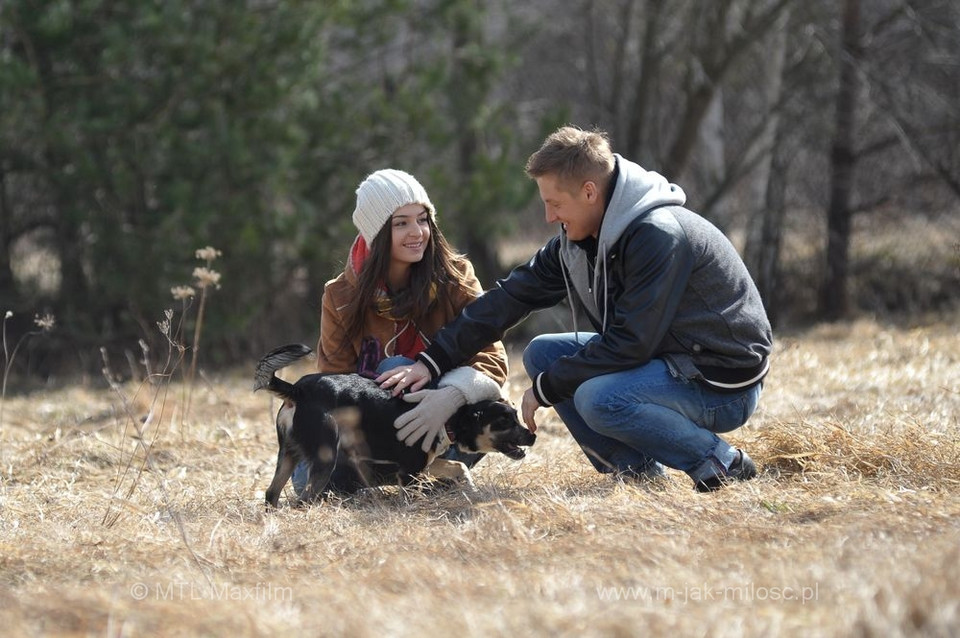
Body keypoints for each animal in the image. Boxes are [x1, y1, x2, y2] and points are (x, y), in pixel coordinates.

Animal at [255, 344, 536, 510]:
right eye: (504, 421)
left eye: (516, 416)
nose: (532, 436)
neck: (451, 418)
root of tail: (298, 390)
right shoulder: (409, 472)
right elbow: (416, 494)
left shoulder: (425, 463)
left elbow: (459, 466)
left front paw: (469, 486)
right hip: (325, 457)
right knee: (302, 499)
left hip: (288, 454)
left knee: (271, 493)